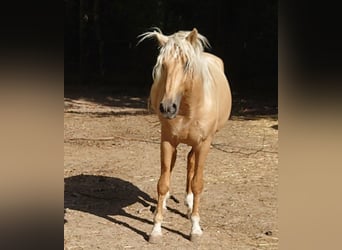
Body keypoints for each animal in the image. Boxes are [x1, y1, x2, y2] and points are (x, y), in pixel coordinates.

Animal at [138, 27, 231, 242]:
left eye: (186, 64)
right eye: (163, 65)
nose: (167, 107)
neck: (188, 108)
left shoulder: (204, 143)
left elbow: (197, 183)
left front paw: (195, 228)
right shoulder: (167, 141)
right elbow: (163, 182)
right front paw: (156, 228)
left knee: (191, 162)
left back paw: (189, 206)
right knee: (174, 166)